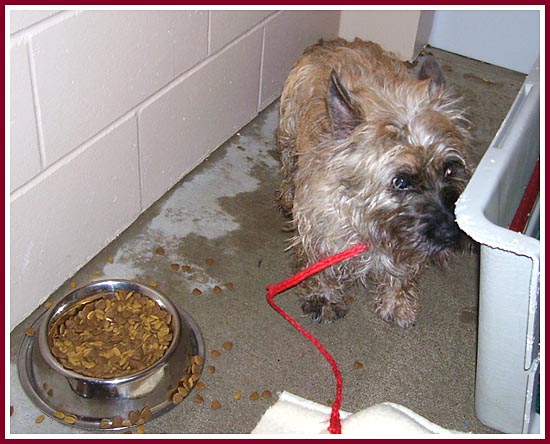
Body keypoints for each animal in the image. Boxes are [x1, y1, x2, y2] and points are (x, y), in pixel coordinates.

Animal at [278, 38, 476, 328]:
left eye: (449, 169)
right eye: (401, 181)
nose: (452, 234)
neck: (368, 221)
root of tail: (334, 41)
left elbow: (403, 270)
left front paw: (398, 301)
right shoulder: (319, 230)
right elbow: (321, 265)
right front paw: (324, 296)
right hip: (289, 135)